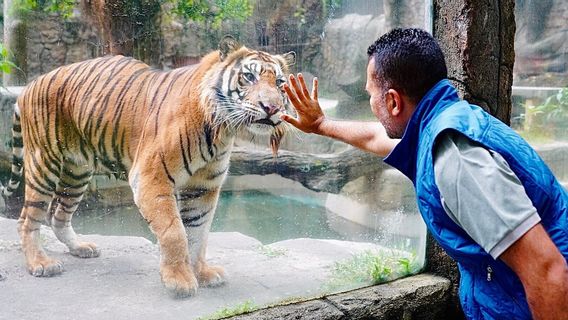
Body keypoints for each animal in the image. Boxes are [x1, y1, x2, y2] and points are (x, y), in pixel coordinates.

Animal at [2, 35, 298, 298]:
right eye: (249, 76)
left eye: (280, 83)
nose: (271, 108)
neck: (221, 129)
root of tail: (30, 85)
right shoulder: (151, 178)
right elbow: (175, 233)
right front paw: (179, 281)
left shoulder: (203, 187)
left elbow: (199, 233)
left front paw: (201, 273)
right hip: (44, 163)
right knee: (27, 218)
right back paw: (41, 263)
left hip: (77, 172)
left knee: (58, 215)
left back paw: (81, 247)